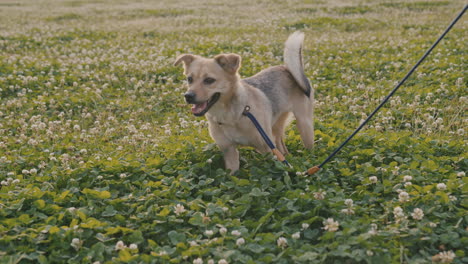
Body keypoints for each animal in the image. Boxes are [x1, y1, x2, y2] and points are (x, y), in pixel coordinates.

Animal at [176, 31, 314, 173]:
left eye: (209, 80)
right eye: (189, 79)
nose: (188, 96)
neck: (231, 115)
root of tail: (286, 68)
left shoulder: (267, 150)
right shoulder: (229, 151)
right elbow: (231, 174)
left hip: (304, 125)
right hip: (276, 127)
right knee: (281, 146)